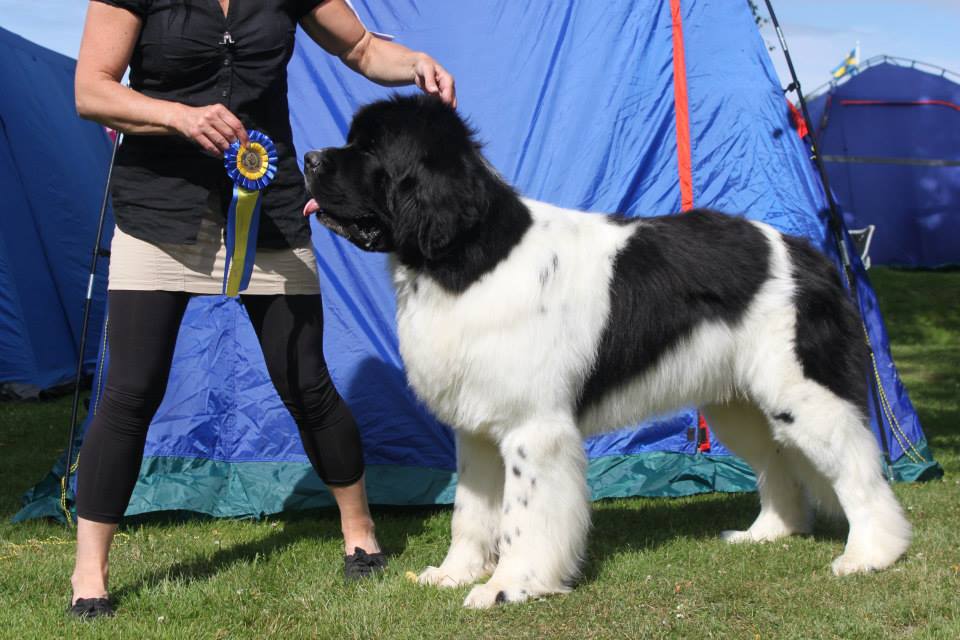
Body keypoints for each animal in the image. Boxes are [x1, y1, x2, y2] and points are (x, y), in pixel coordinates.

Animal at [302, 94, 911, 608]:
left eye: (371, 149)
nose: (307, 157)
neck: (467, 258)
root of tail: (811, 253)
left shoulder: (532, 427)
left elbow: (522, 516)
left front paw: (508, 587)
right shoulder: (475, 427)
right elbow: (471, 511)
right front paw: (455, 573)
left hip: (801, 391)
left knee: (857, 466)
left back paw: (871, 554)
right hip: (737, 402)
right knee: (775, 461)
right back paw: (766, 533)